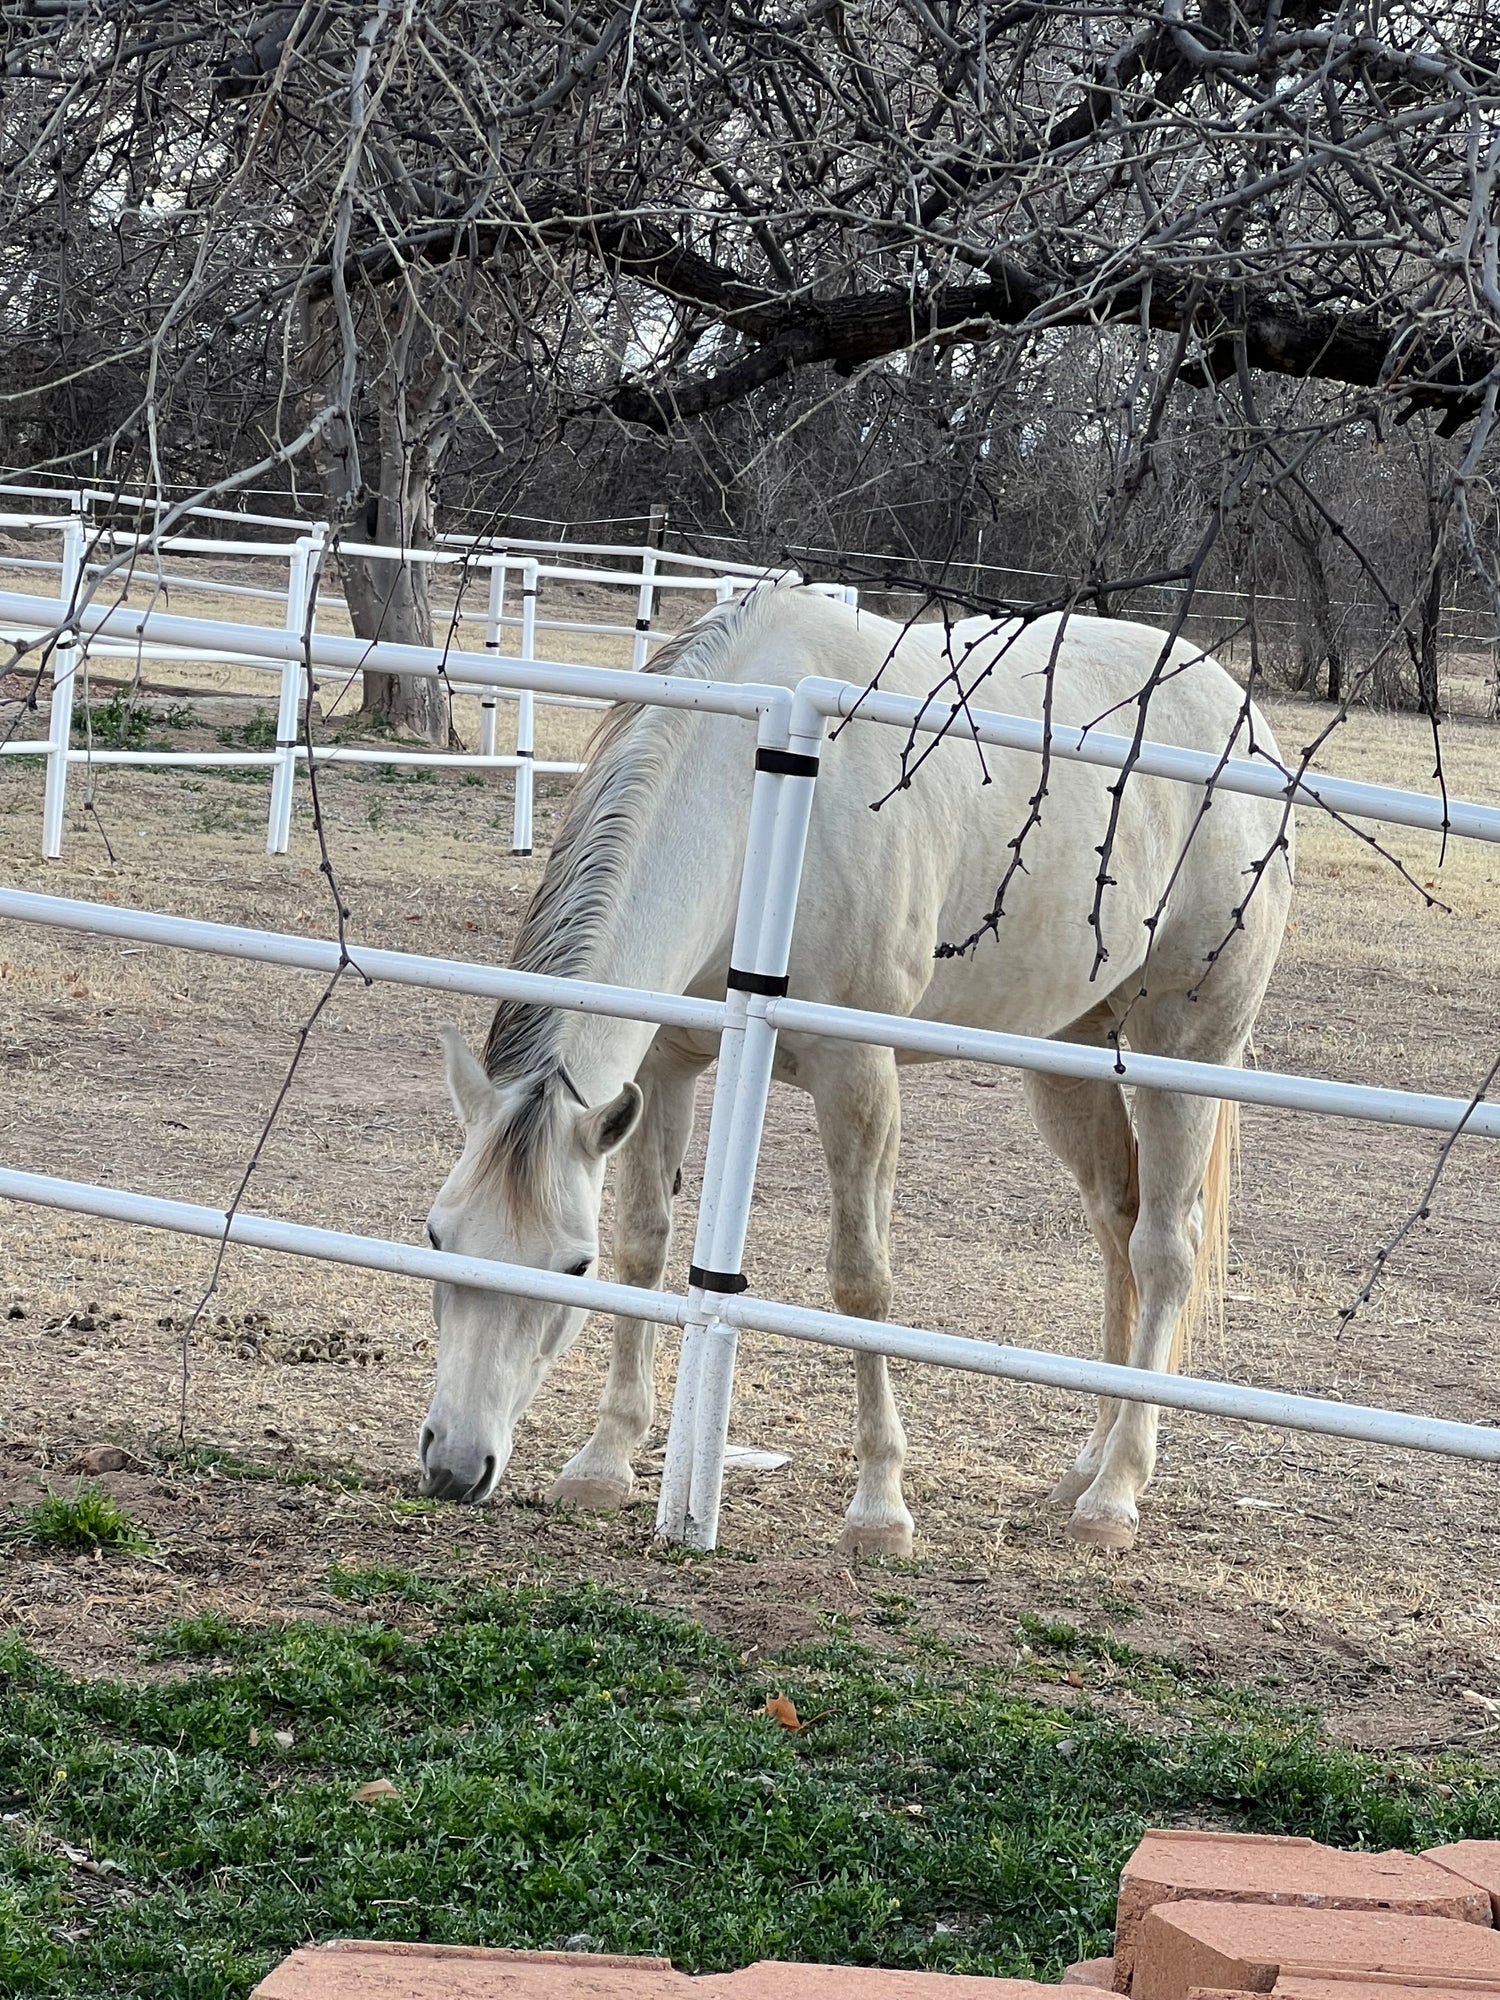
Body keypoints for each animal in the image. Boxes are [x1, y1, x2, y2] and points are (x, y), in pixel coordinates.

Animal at [419, 585, 1293, 1553]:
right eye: (437, 1237)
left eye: (568, 1269)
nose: (453, 1465)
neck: (760, 805)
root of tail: (1241, 713)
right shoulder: (672, 1063)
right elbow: (646, 1247)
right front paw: (603, 1463)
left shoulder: (858, 1075)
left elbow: (861, 1280)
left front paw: (880, 1508)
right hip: (1069, 1060)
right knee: (1118, 1230)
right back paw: (1085, 1466)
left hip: (1189, 1054)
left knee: (1165, 1250)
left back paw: (1116, 1494)